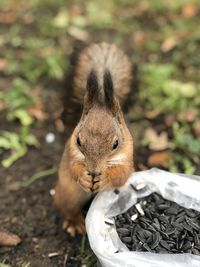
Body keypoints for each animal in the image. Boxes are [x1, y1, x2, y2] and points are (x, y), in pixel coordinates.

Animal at [54, 42, 134, 237]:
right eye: (78, 141)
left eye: (116, 144)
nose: (93, 170)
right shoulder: (71, 152)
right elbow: (73, 167)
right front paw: (83, 177)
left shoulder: (127, 156)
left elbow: (121, 174)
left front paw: (104, 179)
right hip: (69, 194)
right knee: (67, 208)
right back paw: (74, 222)